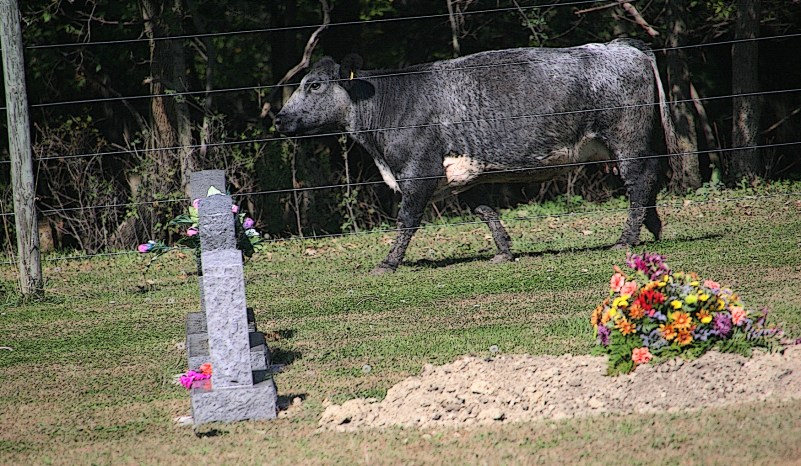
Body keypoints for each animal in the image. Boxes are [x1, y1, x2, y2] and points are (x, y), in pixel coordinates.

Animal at [274, 38, 678, 274]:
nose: (279, 118)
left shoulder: (418, 173)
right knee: (648, 181)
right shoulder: (466, 174)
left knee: (639, 181)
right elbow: (486, 211)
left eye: (314, 84)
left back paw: (627, 238)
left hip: (627, 137)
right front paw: (503, 251)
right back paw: (653, 226)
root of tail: (622, 46)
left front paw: (388, 262)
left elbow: (406, 221)